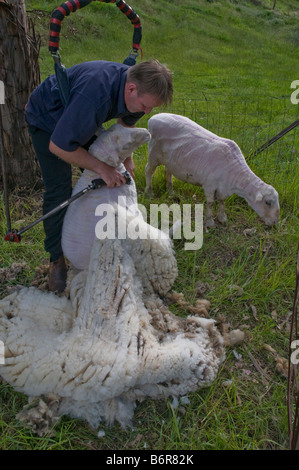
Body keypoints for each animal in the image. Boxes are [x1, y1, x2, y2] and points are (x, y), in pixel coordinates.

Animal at [146, 112, 282, 226]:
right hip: (153, 153)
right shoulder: (209, 184)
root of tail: (153, 117)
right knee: (148, 171)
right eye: (268, 202)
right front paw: (209, 222)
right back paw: (149, 192)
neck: (235, 173)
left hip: (170, 159)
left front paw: (222, 218)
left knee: (168, 171)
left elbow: (222, 201)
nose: (274, 223)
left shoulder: (224, 187)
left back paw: (170, 191)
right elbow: (211, 203)